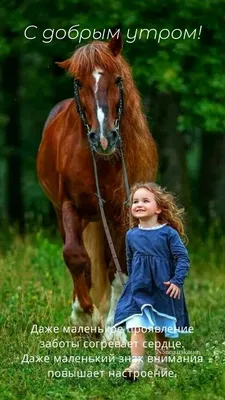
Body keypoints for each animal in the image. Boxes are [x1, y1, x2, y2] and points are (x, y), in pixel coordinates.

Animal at [36, 32, 157, 342]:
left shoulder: (120, 212)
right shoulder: (69, 206)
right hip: (66, 214)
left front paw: (114, 329)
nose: (104, 139)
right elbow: (75, 256)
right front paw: (83, 316)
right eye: (79, 82)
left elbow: (118, 266)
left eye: (118, 80)